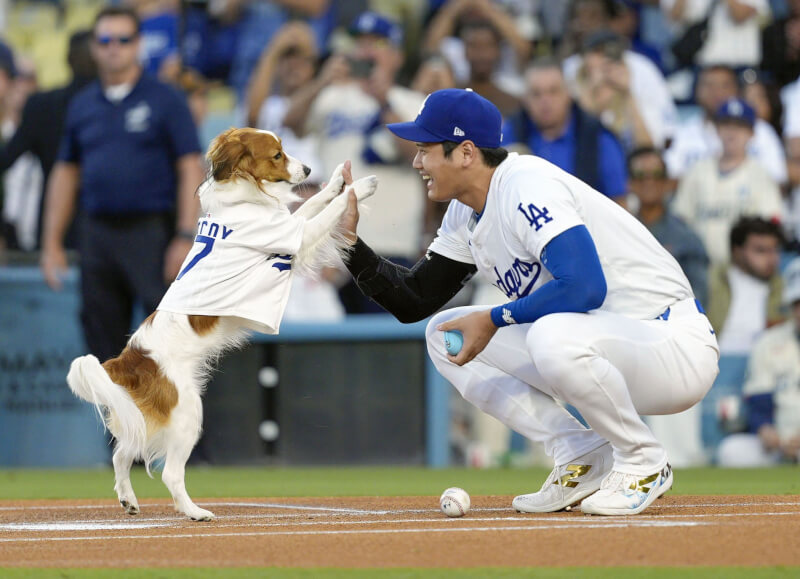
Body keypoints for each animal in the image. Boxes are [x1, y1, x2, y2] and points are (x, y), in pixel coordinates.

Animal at [66, 127, 378, 520]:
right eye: (277, 155)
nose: (307, 169)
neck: (241, 196)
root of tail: (129, 359)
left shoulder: (288, 225)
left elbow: (314, 204)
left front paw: (337, 180)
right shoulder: (295, 235)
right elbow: (326, 212)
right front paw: (360, 187)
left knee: (122, 454)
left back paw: (129, 499)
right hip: (188, 413)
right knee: (169, 473)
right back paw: (195, 511)